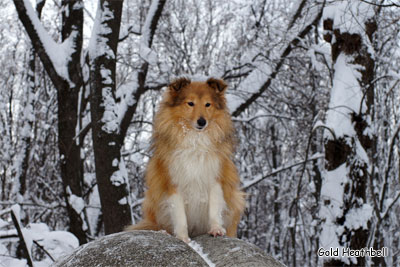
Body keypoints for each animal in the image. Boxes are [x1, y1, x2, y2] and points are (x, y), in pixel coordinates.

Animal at [125, 77, 245, 243]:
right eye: (190, 103)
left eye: (208, 104)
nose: (202, 122)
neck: (195, 139)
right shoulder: (173, 183)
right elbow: (180, 216)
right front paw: (182, 238)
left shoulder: (215, 178)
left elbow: (214, 208)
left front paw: (216, 229)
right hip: (151, 200)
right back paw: (163, 232)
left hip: (236, 200)